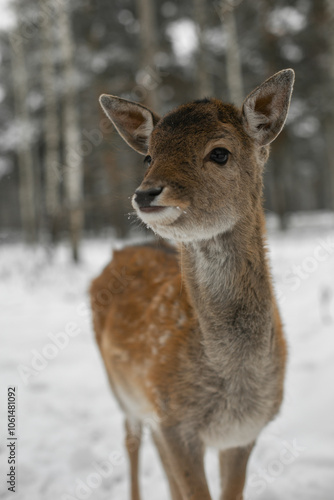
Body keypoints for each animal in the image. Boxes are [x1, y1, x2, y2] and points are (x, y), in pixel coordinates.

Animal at [90, 69, 294, 500]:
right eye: (149, 156)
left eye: (220, 153)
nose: (146, 192)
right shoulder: (175, 422)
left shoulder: (243, 432)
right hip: (123, 390)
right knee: (131, 438)